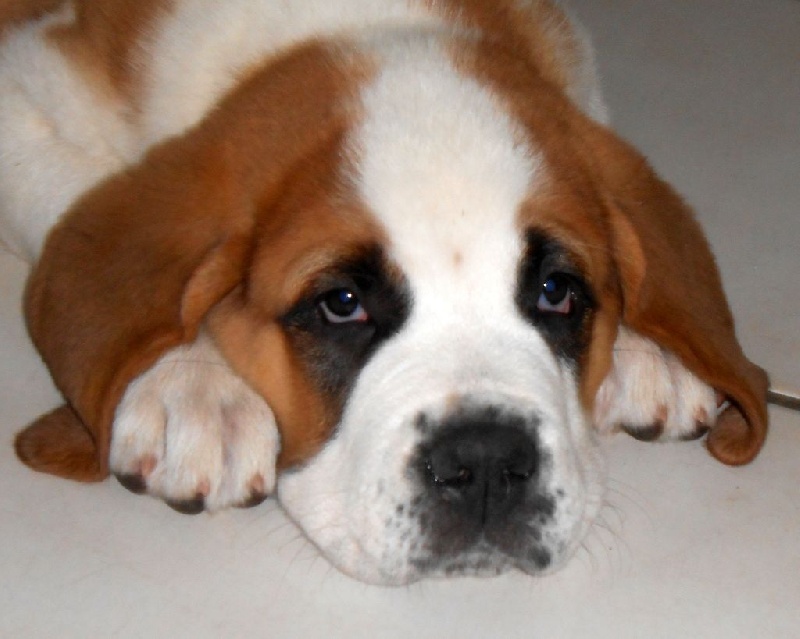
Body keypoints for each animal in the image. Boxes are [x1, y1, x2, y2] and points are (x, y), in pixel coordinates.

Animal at [1, 0, 768, 585]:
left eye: (557, 292)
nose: (485, 463)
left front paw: (653, 348)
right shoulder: (28, 86)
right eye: (343, 305)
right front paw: (191, 387)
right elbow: (81, 200)